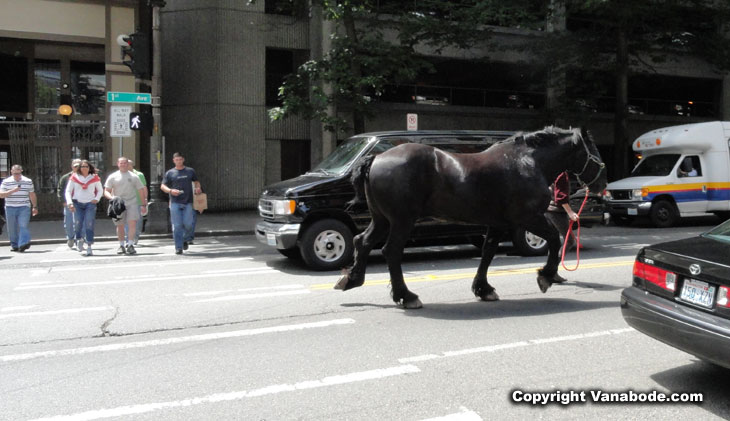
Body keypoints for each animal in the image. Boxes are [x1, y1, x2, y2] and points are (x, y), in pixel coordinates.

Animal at [333, 126, 607, 309]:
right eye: (593, 150)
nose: (602, 184)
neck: (527, 162)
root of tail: (376, 158)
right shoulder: (528, 217)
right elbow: (553, 239)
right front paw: (545, 276)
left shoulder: (498, 223)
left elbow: (487, 253)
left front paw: (483, 289)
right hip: (401, 221)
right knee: (391, 251)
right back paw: (406, 296)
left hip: (382, 219)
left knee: (362, 241)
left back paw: (351, 279)